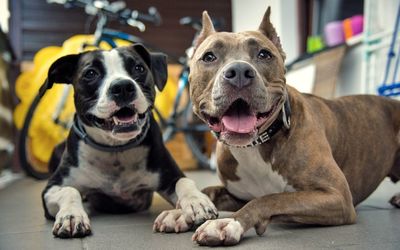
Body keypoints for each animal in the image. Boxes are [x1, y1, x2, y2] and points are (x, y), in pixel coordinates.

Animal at [41, 45, 217, 238]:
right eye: (90, 73)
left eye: (139, 68)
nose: (123, 86)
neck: (116, 149)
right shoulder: (50, 189)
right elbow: (69, 190)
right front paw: (71, 216)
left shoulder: (170, 175)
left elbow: (184, 182)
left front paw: (196, 202)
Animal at [188, 6, 400, 245]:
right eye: (209, 57)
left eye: (264, 54)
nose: (240, 72)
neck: (257, 145)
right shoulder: (236, 194)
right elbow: (209, 190)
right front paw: (188, 207)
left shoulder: (336, 196)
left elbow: (271, 198)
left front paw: (228, 222)